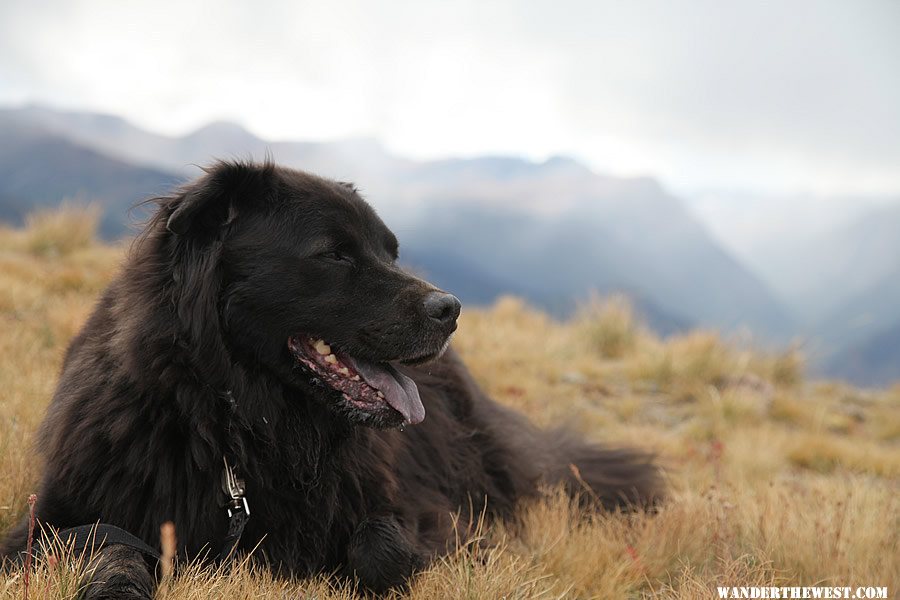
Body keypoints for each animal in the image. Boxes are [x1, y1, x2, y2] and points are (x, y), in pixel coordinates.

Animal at [0, 159, 660, 596]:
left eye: (390, 252)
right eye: (334, 254)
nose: (451, 309)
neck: (241, 425)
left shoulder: (420, 512)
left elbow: (378, 546)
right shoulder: (59, 514)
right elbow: (110, 548)